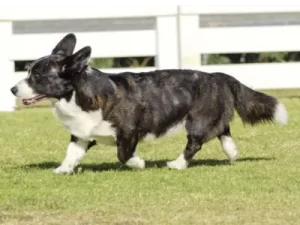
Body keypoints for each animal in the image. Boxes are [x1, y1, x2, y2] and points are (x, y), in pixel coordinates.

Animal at [10, 33, 288, 174]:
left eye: (37, 76)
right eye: (29, 71)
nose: (12, 89)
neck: (78, 94)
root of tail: (218, 76)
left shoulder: (128, 130)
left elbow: (123, 154)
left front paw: (139, 163)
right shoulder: (81, 134)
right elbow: (71, 153)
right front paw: (63, 170)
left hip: (196, 120)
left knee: (195, 143)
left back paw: (177, 164)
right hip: (210, 117)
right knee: (223, 131)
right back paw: (232, 153)